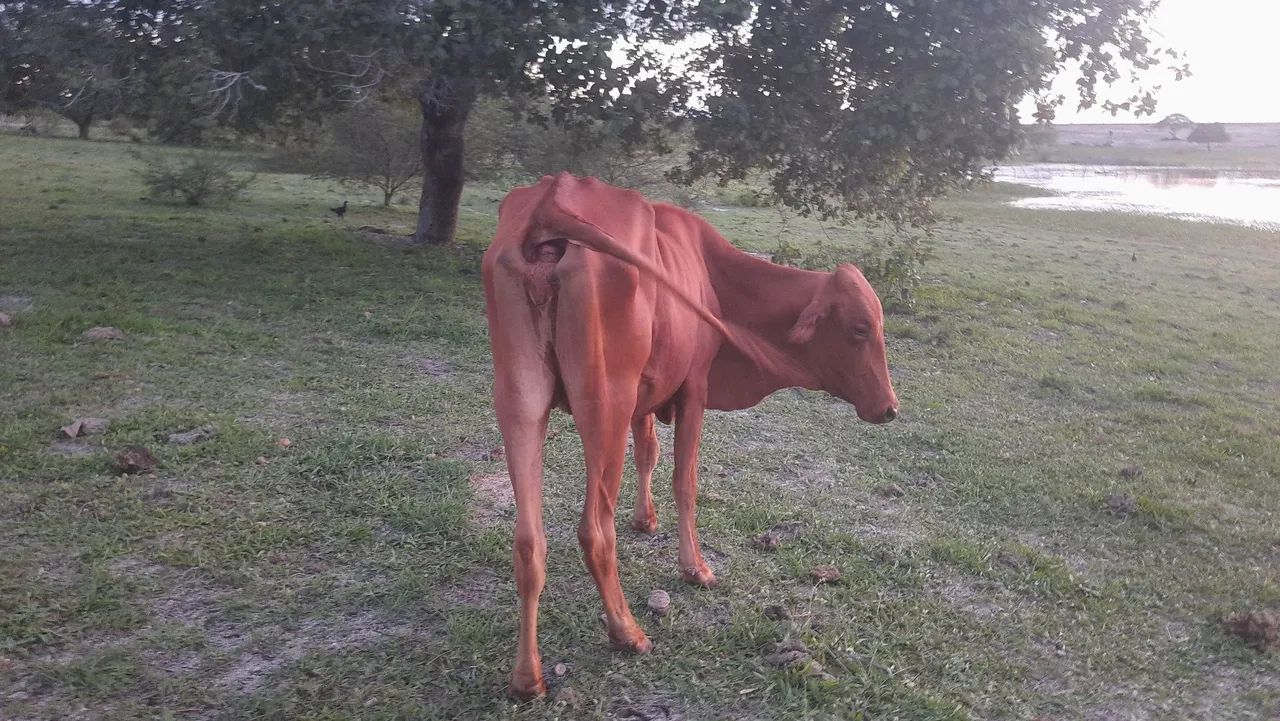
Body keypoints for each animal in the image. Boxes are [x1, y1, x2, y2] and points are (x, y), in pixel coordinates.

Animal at [482, 173, 898, 699]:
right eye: (861, 329)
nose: (890, 408)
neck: (715, 276)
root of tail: (552, 199)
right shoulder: (694, 389)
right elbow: (685, 480)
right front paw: (694, 567)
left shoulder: (646, 396)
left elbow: (649, 453)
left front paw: (645, 520)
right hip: (604, 402)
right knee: (594, 530)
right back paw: (627, 632)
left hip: (520, 400)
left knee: (528, 541)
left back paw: (526, 677)